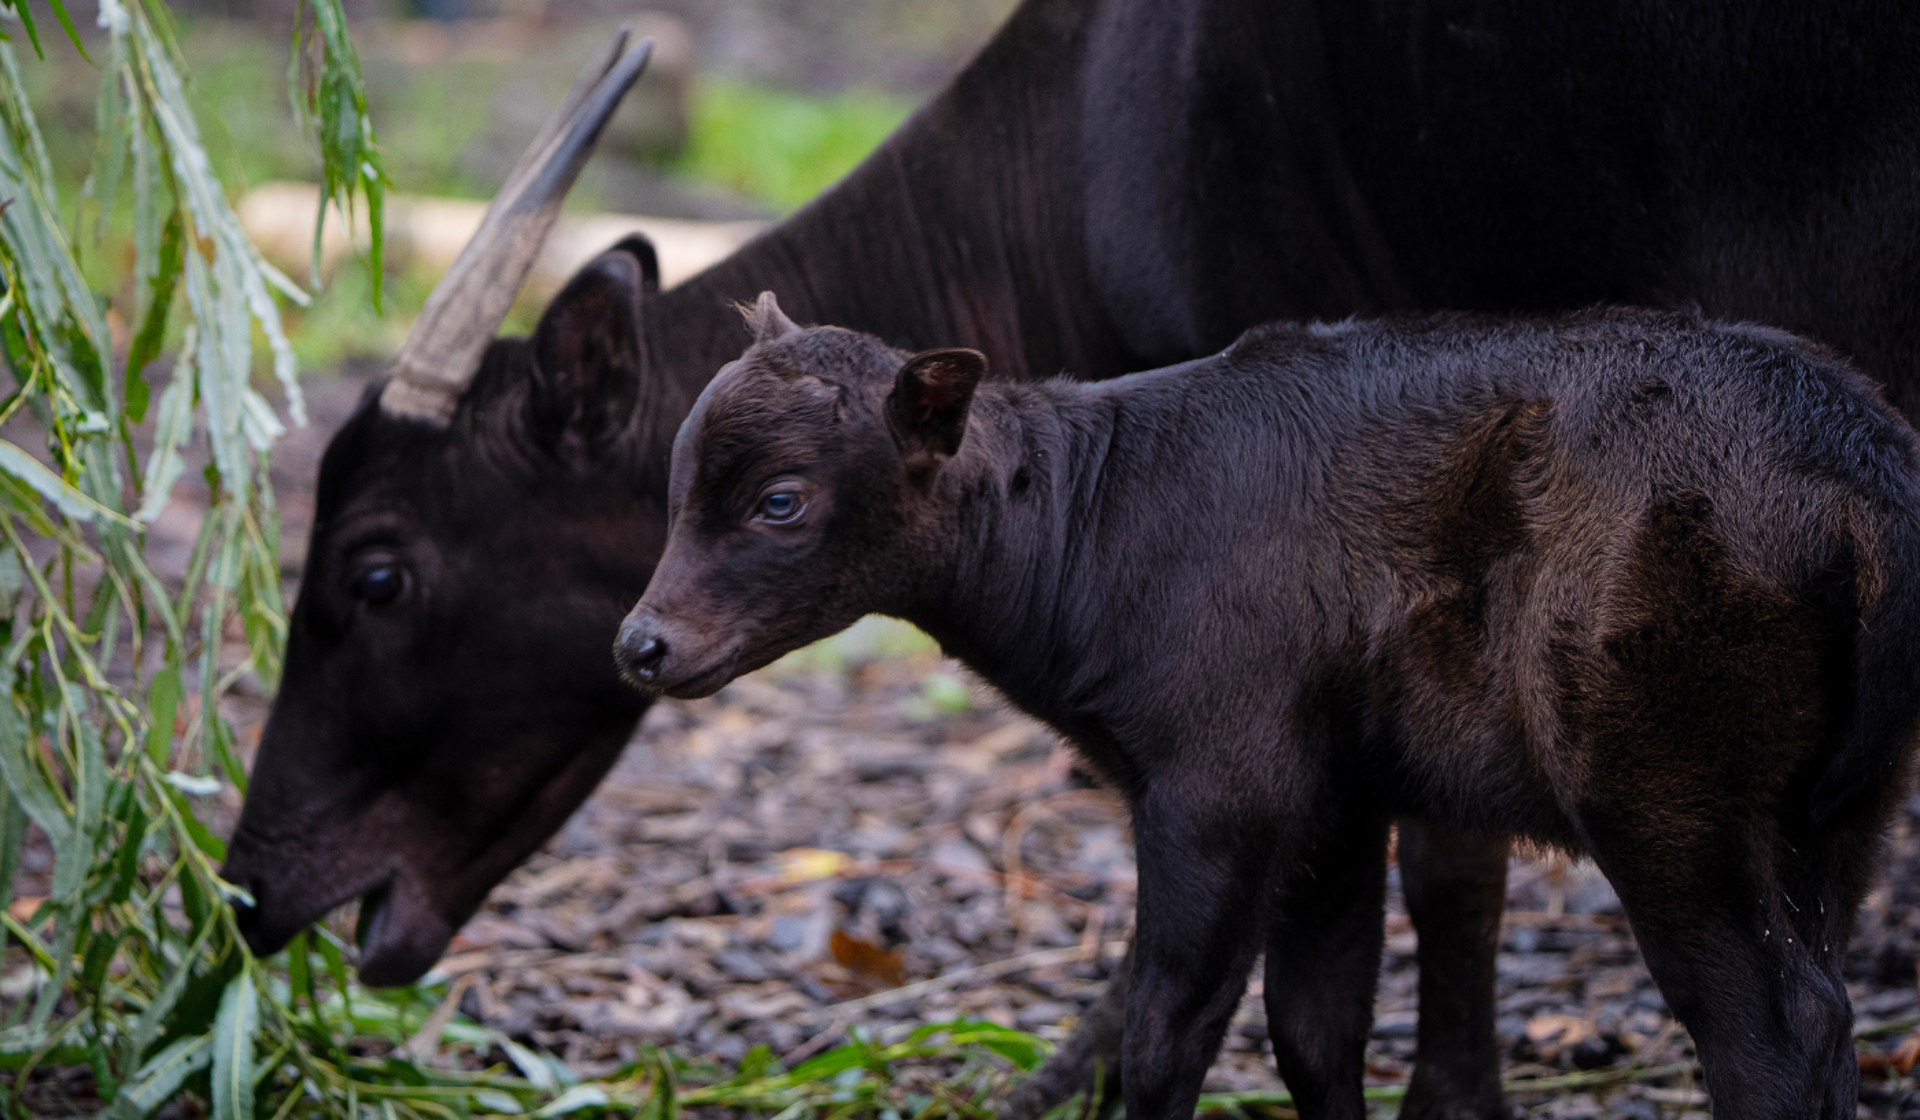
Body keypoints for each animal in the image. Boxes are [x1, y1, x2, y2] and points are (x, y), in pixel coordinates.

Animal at [218, 3, 1920, 1118]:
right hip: (1825, 817)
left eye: (375, 572)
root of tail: (1863, 464)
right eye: (683, 485)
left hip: (1669, 808)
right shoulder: (1332, 793)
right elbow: (1321, 1014)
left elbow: (1230, 1001)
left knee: (1766, 1031)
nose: (250, 883)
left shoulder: (1233, 786)